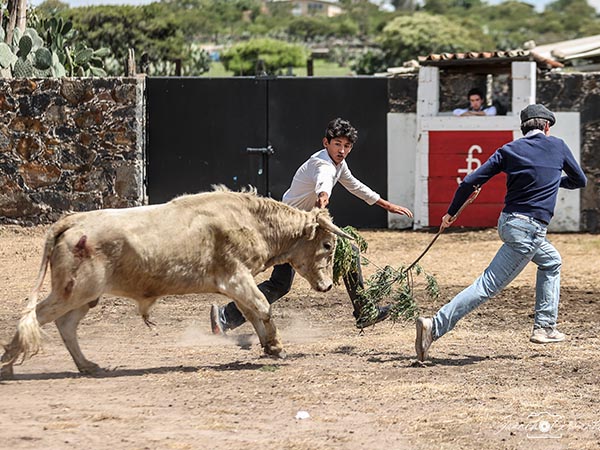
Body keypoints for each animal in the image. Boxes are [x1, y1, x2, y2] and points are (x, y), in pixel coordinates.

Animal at [1, 188, 352, 378]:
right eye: (327, 246)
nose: (326, 286)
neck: (252, 221)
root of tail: (73, 221)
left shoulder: (237, 283)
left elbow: (252, 312)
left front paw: (269, 346)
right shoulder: (235, 277)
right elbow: (262, 306)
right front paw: (276, 345)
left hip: (84, 296)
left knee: (66, 325)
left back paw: (87, 365)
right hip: (72, 291)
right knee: (37, 317)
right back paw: (7, 367)